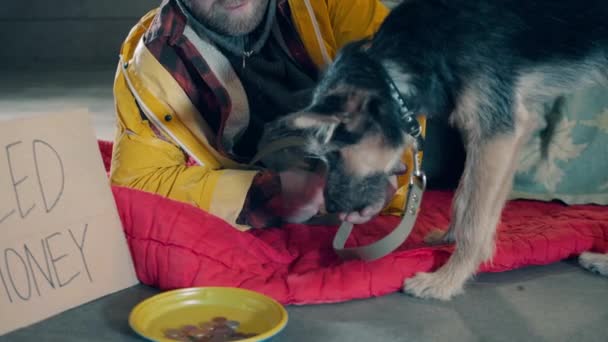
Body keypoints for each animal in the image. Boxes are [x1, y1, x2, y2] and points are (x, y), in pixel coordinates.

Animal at [258, 0, 608, 300]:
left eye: (333, 154)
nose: (331, 208)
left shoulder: (497, 129)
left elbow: (475, 218)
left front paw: (447, 280)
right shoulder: (507, 128)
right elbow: (466, 197)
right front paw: (452, 239)